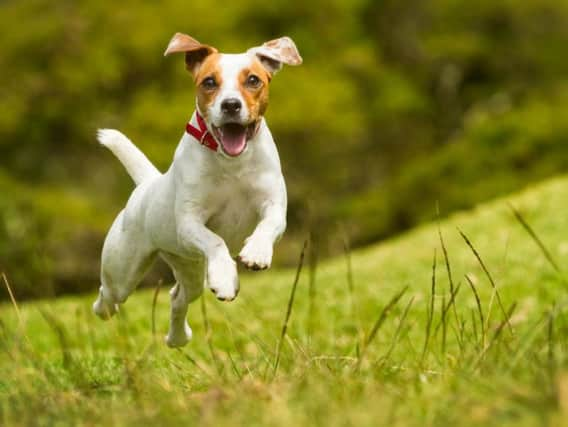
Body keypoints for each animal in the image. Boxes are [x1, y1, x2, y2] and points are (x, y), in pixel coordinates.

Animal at [92, 33, 302, 348]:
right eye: (209, 82)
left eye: (253, 80)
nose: (230, 105)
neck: (231, 163)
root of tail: (146, 184)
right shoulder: (189, 223)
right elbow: (215, 241)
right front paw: (225, 276)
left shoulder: (274, 206)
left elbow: (267, 225)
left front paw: (256, 252)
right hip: (123, 269)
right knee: (109, 295)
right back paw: (105, 309)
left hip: (189, 268)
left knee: (177, 297)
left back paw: (178, 337)